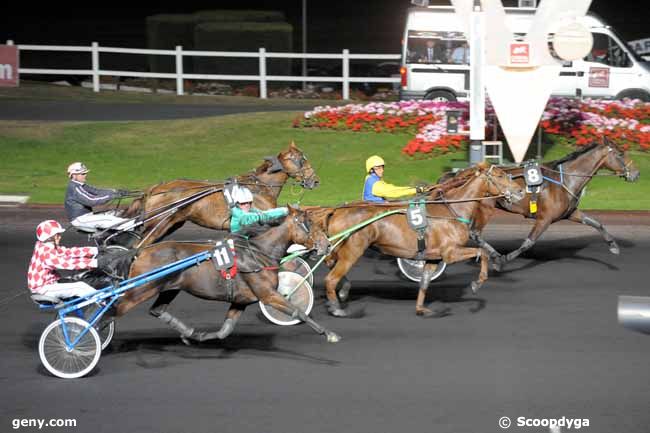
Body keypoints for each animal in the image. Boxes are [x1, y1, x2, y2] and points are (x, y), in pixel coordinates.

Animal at [106, 206, 340, 344]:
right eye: (307, 223)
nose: (327, 245)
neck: (258, 252)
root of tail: (140, 251)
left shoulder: (240, 300)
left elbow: (224, 330)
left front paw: (198, 336)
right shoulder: (267, 294)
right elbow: (298, 311)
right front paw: (330, 334)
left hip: (169, 288)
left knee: (157, 310)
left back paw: (188, 332)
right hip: (139, 290)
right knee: (111, 311)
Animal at [123, 140, 318, 245]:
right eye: (301, 160)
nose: (315, 180)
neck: (257, 187)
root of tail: (153, 190)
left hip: (170, 224)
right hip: (159, 225)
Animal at [316, 164, 528, 316]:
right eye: (500, 176)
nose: (520, 191)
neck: (452, 210)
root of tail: (336, 211)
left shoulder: (433, 257)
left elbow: (424, 282)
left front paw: (421, 308)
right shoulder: (450, 252)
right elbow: (481, 252)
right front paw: (478, 282)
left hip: (341, 250)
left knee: (330, 264)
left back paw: (343, 290)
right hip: (353, 251)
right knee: (330, 278)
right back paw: (336, 306)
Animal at [440, 139, 636, 270]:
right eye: (620, 154)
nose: (636, 173)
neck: (564, 180)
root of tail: (462, 173)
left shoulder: (570, 213)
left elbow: (597, 223)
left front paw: (613, 245)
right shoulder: (545, 218)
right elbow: (528, 243)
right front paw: (503, 260)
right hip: (485, 208)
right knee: (475, 232)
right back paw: (493, 255)